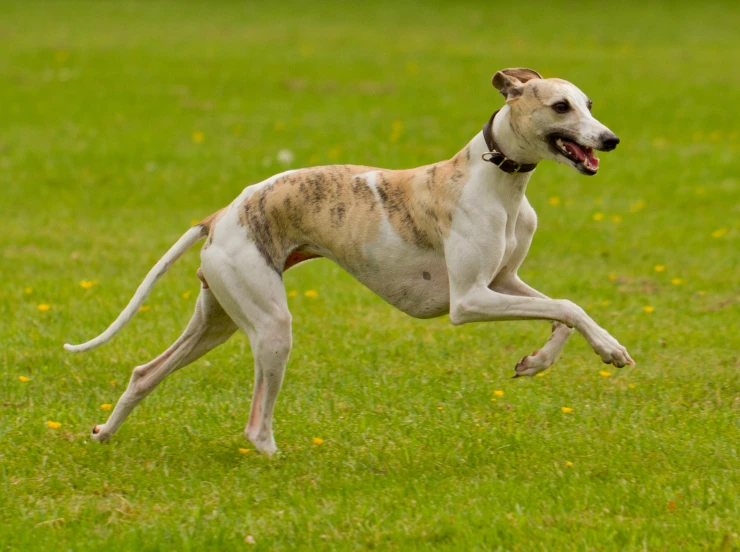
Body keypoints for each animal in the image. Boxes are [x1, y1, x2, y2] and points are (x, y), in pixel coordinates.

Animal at [63, 69, 632, 452]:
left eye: (588, 103)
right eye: (560, 107)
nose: (611, 139)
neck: (498, 177)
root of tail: (221, 213)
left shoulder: (505, 280)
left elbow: (565, 312)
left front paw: (540, 361)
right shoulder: (469, 300)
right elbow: (566, 307)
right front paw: (610, 349)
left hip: (218, 317)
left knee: (144, 372)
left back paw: (104, 432)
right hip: (271, 325)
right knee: (255, 424)